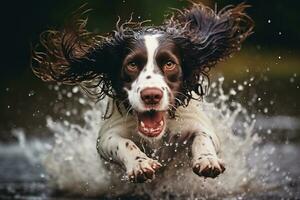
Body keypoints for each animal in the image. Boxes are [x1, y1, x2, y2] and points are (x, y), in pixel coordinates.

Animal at [32, 1, 253, 183]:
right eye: (132, 64)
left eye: (169, 63)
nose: (151, 95)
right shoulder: (106, 136)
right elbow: (124, 143)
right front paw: (140, 164)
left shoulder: (196, 122)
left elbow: (203, 137)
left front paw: (207, 160)